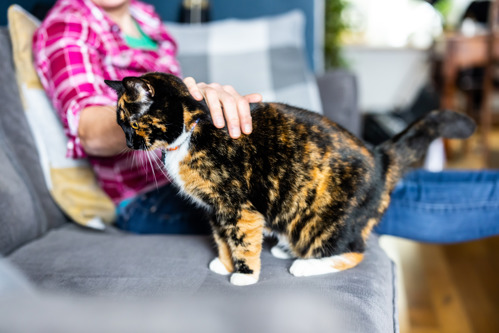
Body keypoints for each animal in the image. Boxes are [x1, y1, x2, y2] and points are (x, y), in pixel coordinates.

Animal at [106, 72, 476, 286]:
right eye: (119, 124)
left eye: (129, 122)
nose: (128, 142)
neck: (192, 128)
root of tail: (380, 155)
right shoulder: (215, 210)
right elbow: (223, 240)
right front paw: (224, 264)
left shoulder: (239, 207)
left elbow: (242, 241)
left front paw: (244, 275)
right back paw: (287, 250)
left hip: (329, 221)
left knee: (355, 251)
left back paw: (305, 265)